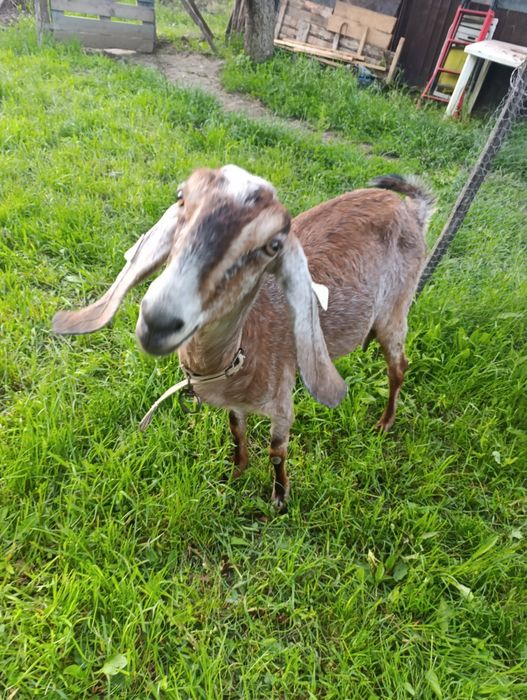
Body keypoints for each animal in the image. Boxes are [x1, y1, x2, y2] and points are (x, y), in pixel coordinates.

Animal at [52, 165, 434, 509]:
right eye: (181, 197)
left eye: (273, 245)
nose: (159, 321)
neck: (239, 355)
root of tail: (411, 210)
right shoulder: (235, 404)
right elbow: (236, 430)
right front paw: (235, 474)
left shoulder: (282, 403)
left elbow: (277, 451)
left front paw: (279, 499)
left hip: (394, 313)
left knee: (399, 366)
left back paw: (384, 424)